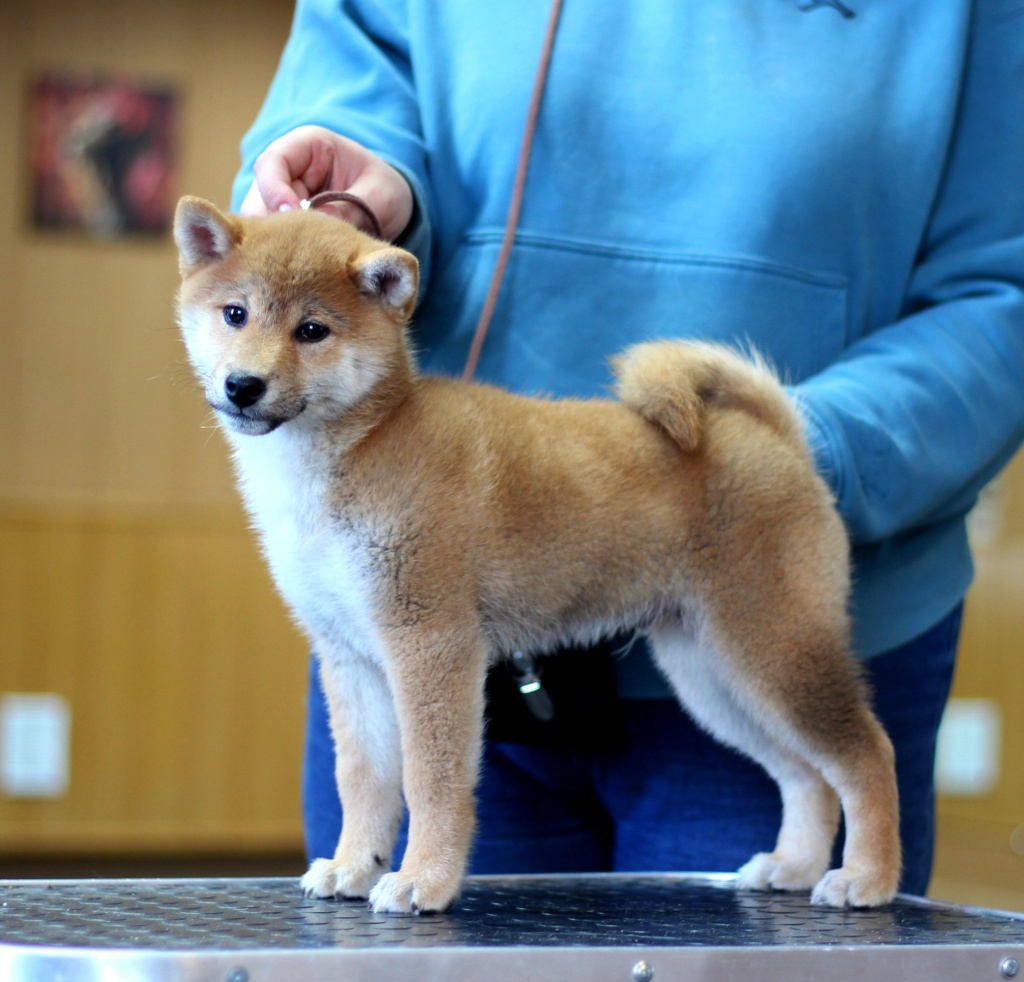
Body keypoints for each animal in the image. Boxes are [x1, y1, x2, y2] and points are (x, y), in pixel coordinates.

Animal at [174, 195, 897, 917]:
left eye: (313, 330)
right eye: (235, 314)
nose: (243, 385)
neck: (361, 445)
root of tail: (781, 440)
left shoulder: (431, 643)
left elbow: (430, 778)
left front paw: (422, 878)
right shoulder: (350, 655)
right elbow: (362, 778)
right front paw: (354, 865)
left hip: (774, 648)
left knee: (865, 753)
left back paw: (867, 878)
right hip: (713, 675)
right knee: (805, 775)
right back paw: (794, 865)